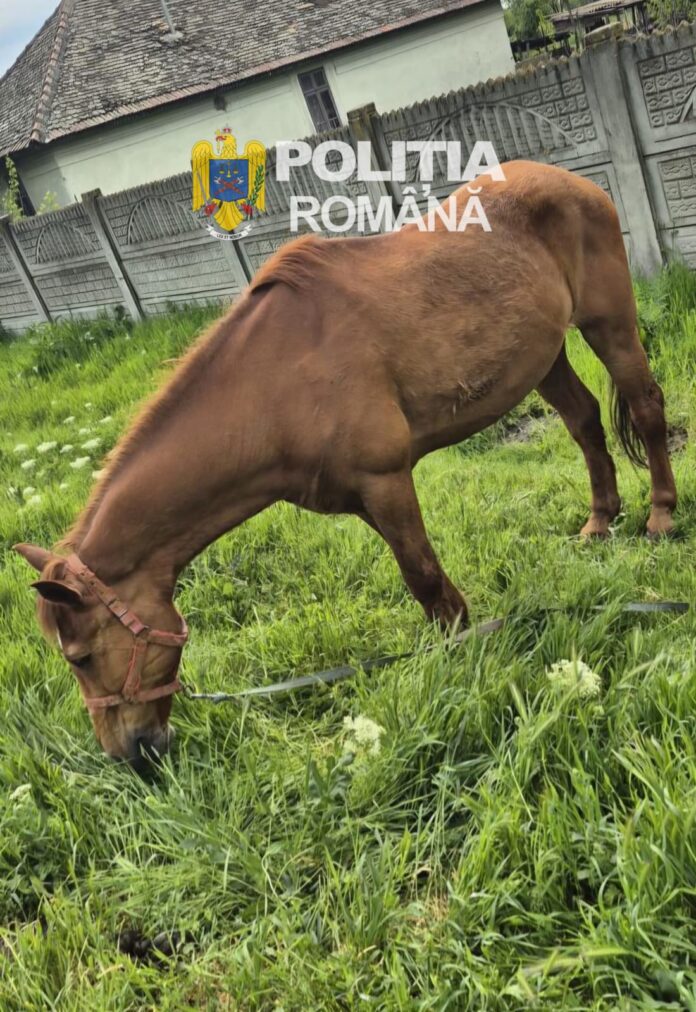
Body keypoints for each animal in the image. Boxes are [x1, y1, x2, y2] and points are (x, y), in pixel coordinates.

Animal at [14, 160, 677, 770]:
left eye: (79, 656)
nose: (128, 753)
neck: (275, 383)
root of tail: (568, 178)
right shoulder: (363, 500)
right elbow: (427, 588)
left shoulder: (387, 482)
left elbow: (426, 582)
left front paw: (464, 663)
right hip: (544, 355)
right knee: (585, 422)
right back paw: (600, 522)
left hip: (608, 323)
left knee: (646, 409)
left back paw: (661, 517)